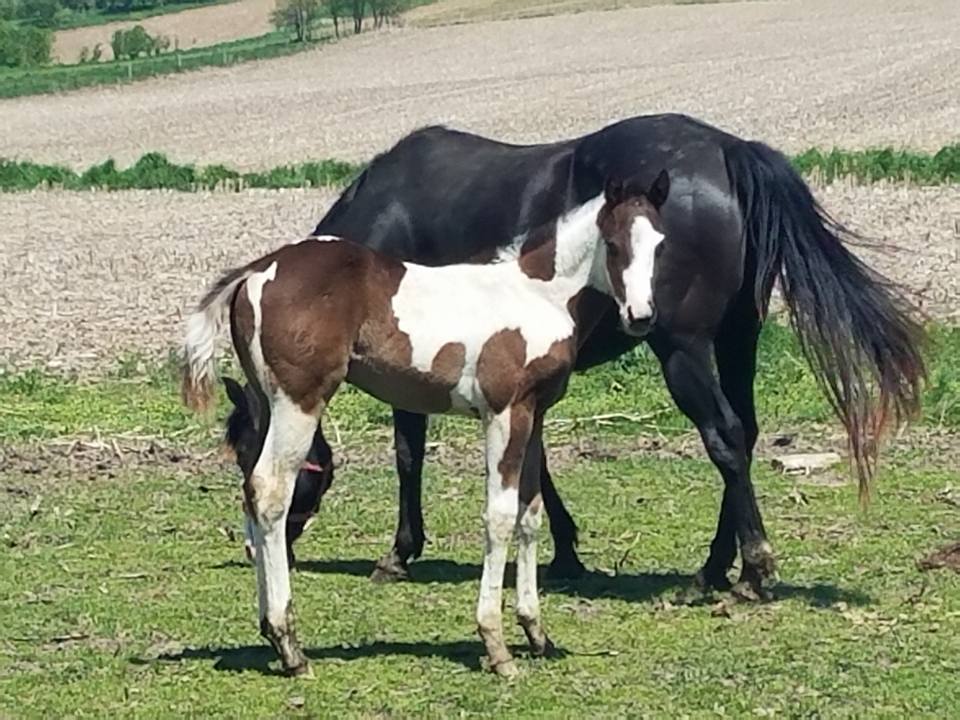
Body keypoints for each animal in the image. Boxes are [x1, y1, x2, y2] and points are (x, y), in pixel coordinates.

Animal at [184, 172, 672, 676]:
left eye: (660, 244)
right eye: (613, 244)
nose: (641, 316)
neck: (539, 295)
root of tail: (257, 269)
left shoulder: (534, 414)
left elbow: (530, 513)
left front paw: (536, 632)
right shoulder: (503, 412)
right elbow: (500, 516)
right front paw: (496, 646)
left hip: (265, 402)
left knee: (250, 487)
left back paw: (270, 630)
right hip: (299, 401)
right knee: (271, 491)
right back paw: (290, 646)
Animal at [223, 112, 924, 596]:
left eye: (243, 448)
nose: (261, 542)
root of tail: (728, 152)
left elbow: (408, 452)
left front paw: (401, 551)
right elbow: (535, 462)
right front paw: (566, 550)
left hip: (683, 349)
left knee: (724, 438)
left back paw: (749, 568)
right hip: (736, 339)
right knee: (744, 434)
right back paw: (714, 566)